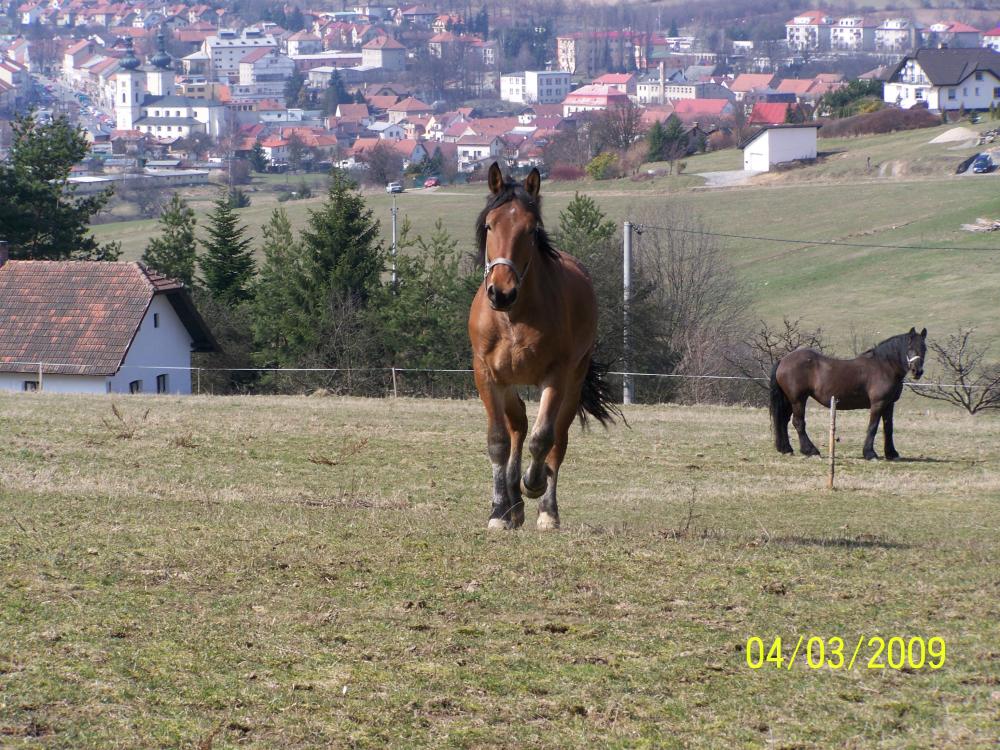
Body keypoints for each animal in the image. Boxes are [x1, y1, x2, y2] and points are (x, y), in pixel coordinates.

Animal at [466, 162, 616, 532]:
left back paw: (546, 508)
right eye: (490, 225)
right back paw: (513, 505)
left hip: (573, 383)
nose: (501, 292)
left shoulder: (556, 376)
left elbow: (543, 437)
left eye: (531, 230)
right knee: (517, 424)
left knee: (556, 440)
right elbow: (498, 440)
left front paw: (533, 484)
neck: (513, 317)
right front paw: (498, 511)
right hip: (509, 383)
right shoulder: (487, 375)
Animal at [772, 330, 928, 462]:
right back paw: (811, 451)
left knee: (783, 421)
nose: (917, 371)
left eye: (924, 348)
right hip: (798, 400)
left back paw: (786, 449)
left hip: (789, 400)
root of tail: (783, 360)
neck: (884, 367)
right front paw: (870, 454)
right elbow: (873, 427)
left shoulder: (889, 404)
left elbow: (888, 427)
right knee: (798, 423)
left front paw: (891, 453)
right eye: (909, 347)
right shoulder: (878, 403)